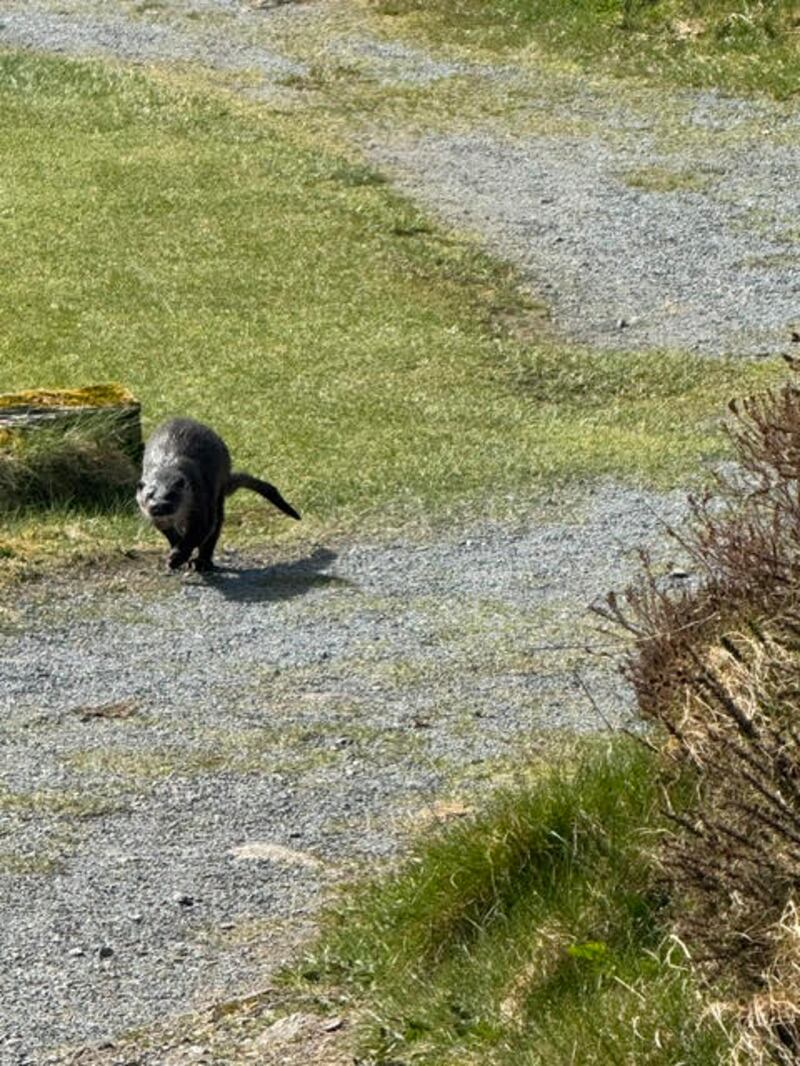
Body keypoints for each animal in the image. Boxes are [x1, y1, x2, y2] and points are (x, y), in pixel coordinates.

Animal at [136, 417, 300, 571]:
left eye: (171, 494)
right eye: (149, 495)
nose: (159, 505)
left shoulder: (200, 499)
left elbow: (200, 531)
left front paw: (177, 557)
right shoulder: (159, 521)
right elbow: (171, 535)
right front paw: (176, 550)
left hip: (218, 492)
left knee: (216, 526)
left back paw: (201, 562)